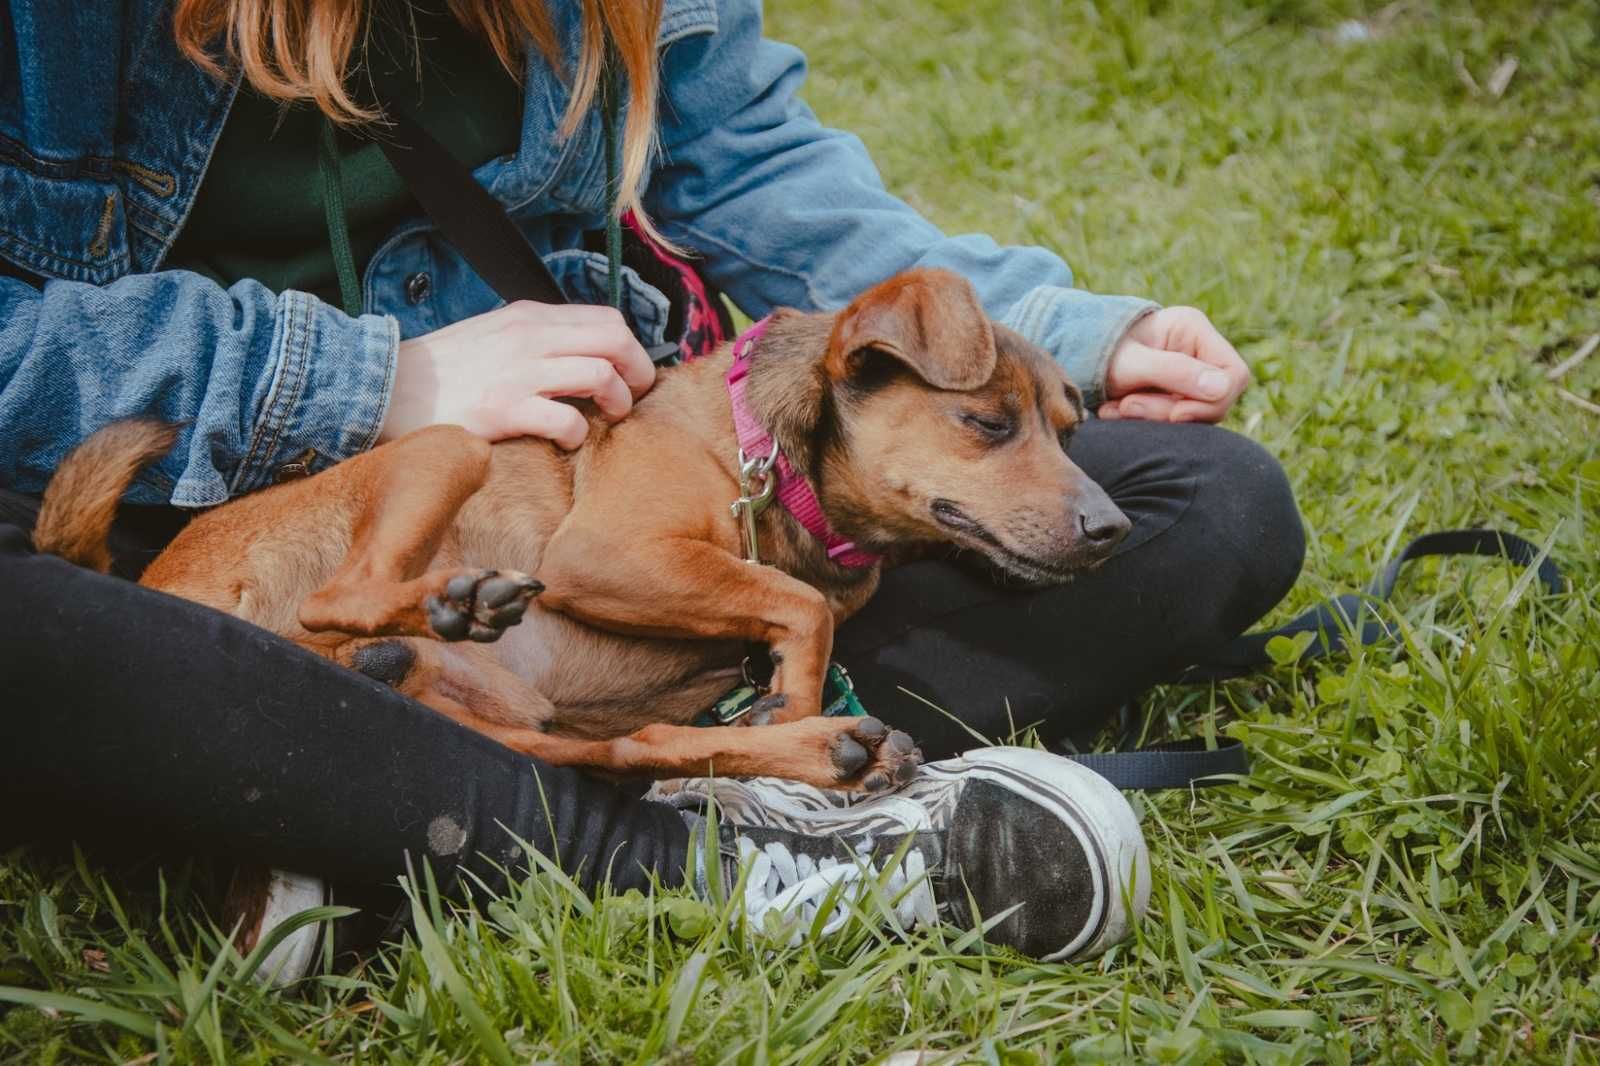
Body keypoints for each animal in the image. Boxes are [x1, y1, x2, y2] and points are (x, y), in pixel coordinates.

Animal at [34, 270, 1126, 784]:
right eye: (987, 424)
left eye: (1070, 428)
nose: (1111, 529)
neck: (761, 453)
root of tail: (148, 578)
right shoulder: (604, 556)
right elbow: (800, 607)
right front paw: (796, 692)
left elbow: (791, 611)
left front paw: (788, 712)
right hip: (446, 447)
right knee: (345, 597)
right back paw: (455, 602)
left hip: (530, 725)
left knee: (630, 751)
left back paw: (821, 754)